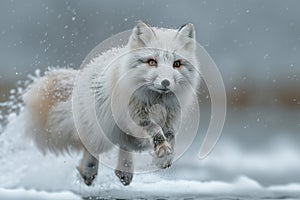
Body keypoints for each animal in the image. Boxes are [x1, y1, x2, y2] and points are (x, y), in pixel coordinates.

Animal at [23, 20, 200, 186]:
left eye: (177, 64)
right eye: (152, 62)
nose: (166, 82)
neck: (156, 101)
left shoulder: (172, 118)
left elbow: (170, 137)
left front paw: (164, 158)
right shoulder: (136, 117)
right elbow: (155, 129)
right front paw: (162, 149)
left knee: (124, 146)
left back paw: (124, 172)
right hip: (102, 132)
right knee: (91, 147)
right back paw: (89, 171)